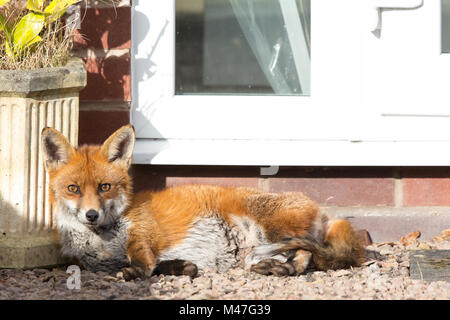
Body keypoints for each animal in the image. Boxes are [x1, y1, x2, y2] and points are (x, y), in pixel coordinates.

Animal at [41, 124, 366, 278]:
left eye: (105, 187)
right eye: (73, 189)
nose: (91, 215)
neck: (101, 240)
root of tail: (322, 210)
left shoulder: (143, 233)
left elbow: (143, 258)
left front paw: (139, 271)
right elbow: (163, 265)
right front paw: (180, 268)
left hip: (271, 229)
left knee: (308, 252)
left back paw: (288, 268)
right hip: (260, 248)